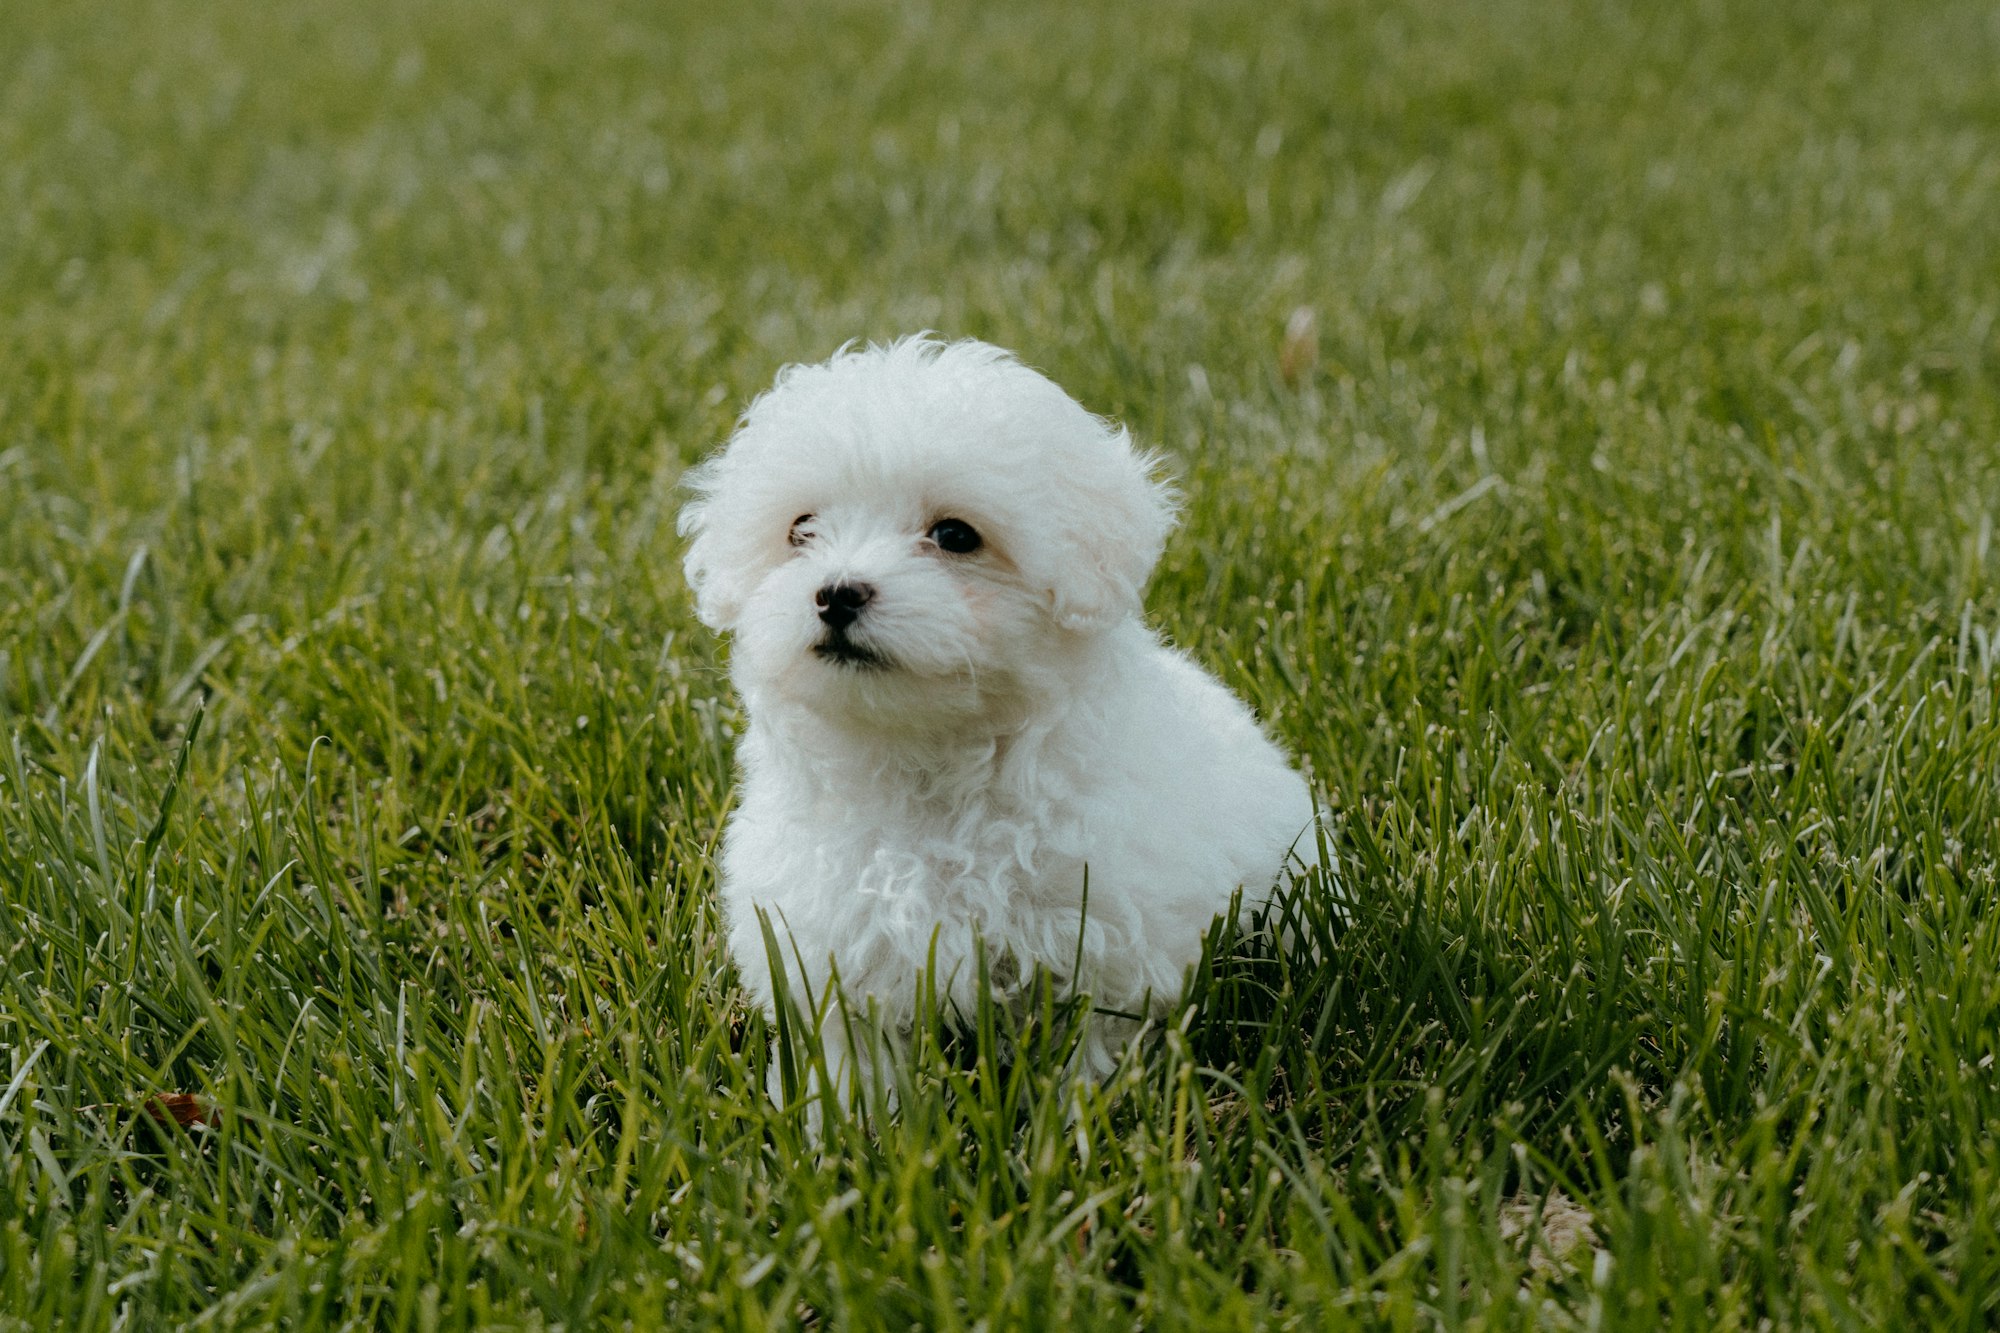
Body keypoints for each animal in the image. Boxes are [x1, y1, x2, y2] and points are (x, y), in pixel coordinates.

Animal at [680, 332, 1320, 1088]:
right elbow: (851, 1055)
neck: (925, 762)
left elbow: (1093, 1041)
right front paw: (844, 1112)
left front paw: (1080, 1105)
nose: (836, 593)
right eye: (801, 529)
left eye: (956, 535)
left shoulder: (1101, 941)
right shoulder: (828, 948)